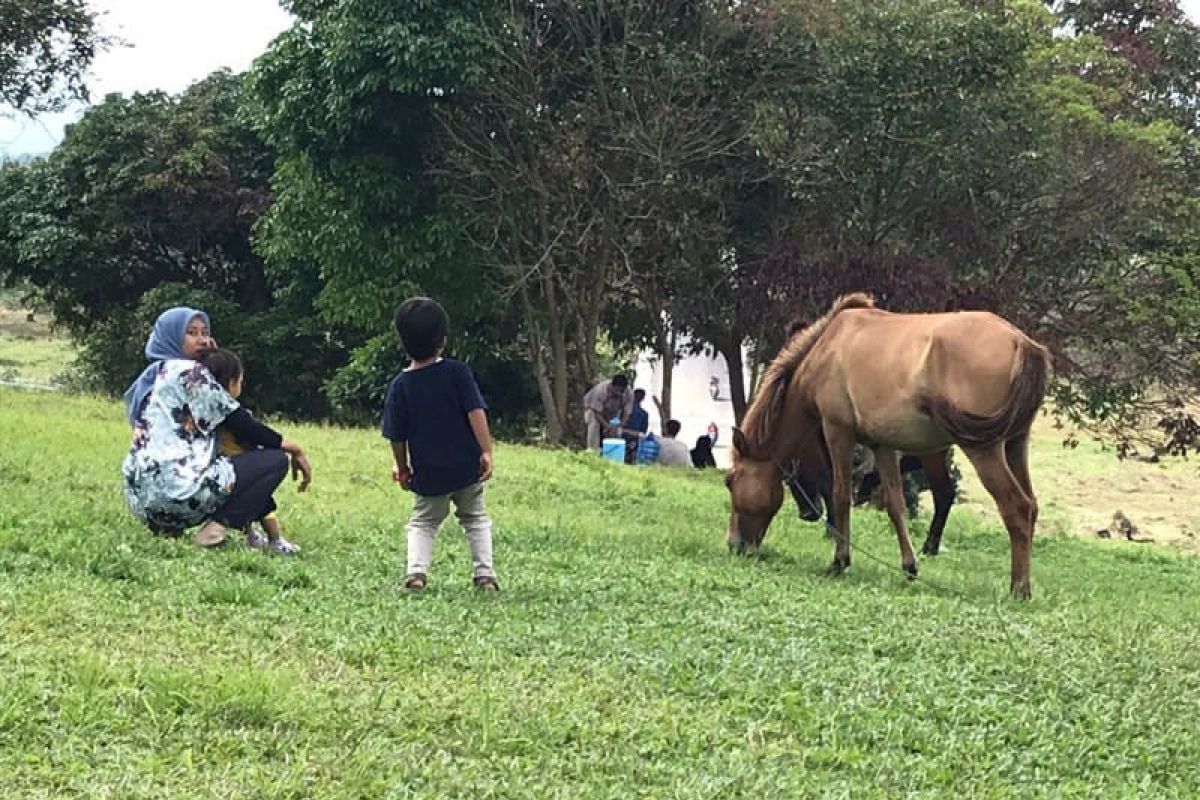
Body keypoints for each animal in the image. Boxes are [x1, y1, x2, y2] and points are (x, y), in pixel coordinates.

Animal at [720, 293, 1051, 599]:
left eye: (730, 481)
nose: (734, 545)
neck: (827, 348)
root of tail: (1022, 342)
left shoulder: (837, 430)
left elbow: (841, 494)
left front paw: (840, 561)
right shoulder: (882, 445)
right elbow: (895, 504)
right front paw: (909, 566)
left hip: (984, 450)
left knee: (1017, 507)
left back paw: (1019, 588)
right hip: (1014, 447)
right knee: (1031, 506)